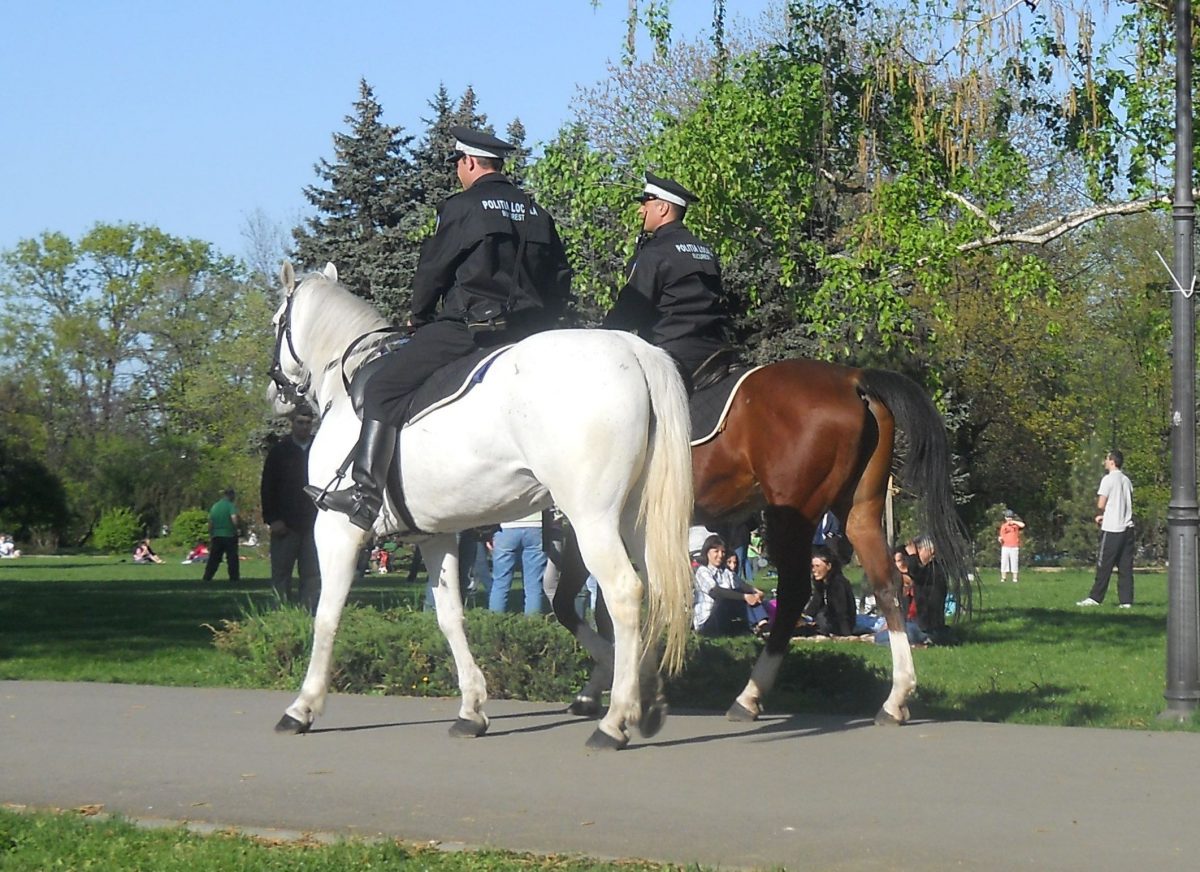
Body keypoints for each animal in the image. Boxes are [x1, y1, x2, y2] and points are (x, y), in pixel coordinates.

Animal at [266, 266, 691, 748]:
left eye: (277, 321)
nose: (273, 392)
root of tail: (632, 348)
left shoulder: (336, 529)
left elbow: (326, 616)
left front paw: (303, 706)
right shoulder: (435, 536)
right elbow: (451, 617)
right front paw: (471, 708)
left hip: (592, 519)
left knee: (624, 593)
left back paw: (616, 719)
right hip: (636, 519)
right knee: (656, 591)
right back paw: (649, 696)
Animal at [552, 355, 974, 729]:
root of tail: (851, 378)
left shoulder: (588, 522)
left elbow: (572, 606)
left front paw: (608, 684)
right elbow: (601, 610)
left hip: (792, 514)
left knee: (793, 593)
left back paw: (749, 695)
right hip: (859, 511)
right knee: (887, 585)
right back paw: (896, 698)